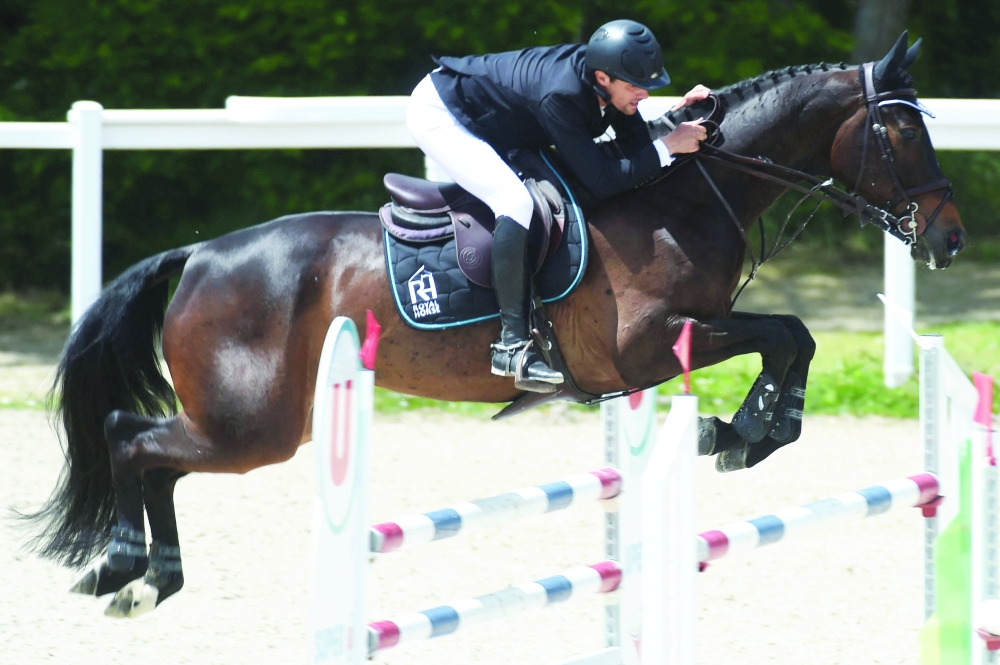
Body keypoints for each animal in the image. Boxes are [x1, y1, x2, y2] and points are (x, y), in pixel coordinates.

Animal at [28, 33, 966, 617]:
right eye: (899, 131)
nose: (951, 238)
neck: (681, 196)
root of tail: (198, 255)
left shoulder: (687, 332)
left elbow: (792, 336)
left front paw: (746, 429)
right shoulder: (648, 346)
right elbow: (787, 333)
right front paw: (739, 431)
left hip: (248, 422)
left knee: (151, 451)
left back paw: (149, 579)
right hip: (254, 424)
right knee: (130, 436)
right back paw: (125, 567)